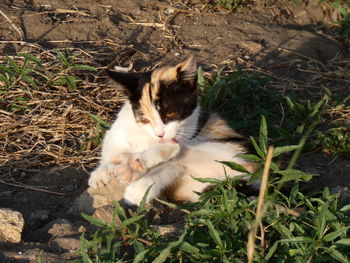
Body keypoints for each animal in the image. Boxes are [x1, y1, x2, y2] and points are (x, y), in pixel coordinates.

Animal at [89, 56, 256, 207]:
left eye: (171, 114)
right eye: (145, 120)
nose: (160, 134)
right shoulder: (119, 131)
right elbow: (112, 149)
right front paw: (101, 173)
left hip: (228, 150)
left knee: (179, 154)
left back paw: (136, 170)